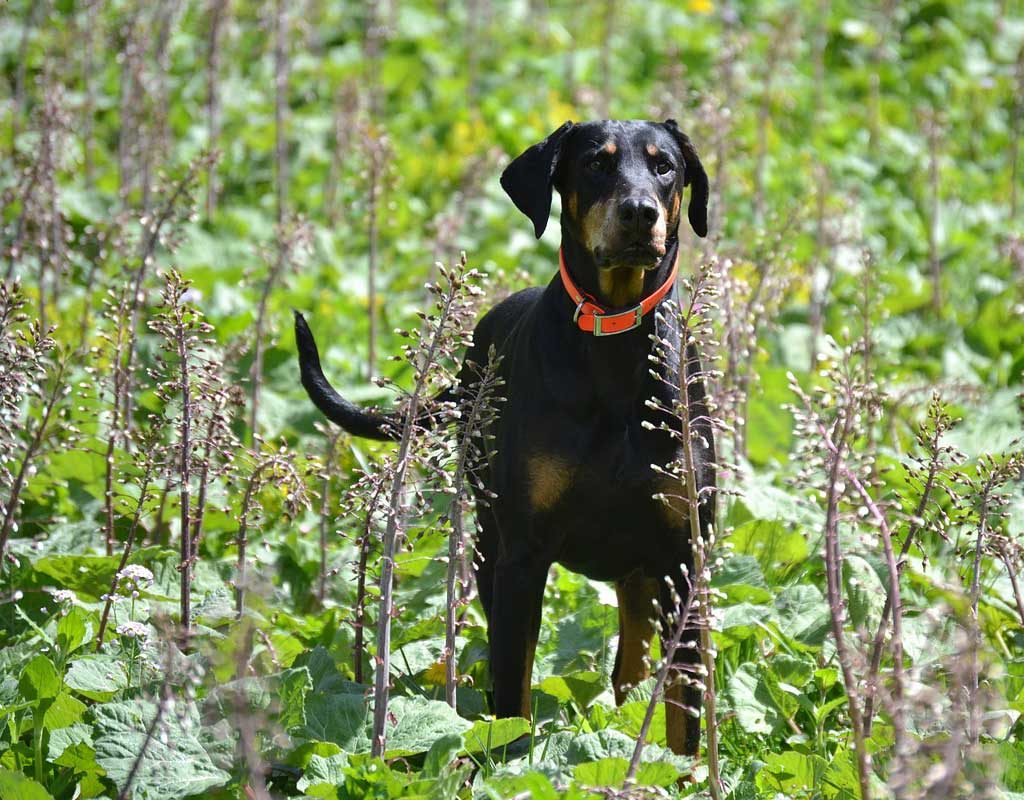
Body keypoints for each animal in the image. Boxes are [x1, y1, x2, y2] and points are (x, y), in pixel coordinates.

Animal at [292, 118, 716, 753]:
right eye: (596, 163)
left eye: (664, 166)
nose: (640, 213)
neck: (613, 342)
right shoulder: (522, 556)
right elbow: (513, 690)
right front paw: (514, 762)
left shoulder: (683, 556)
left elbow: (683, 713)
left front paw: (681, 768)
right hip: (489, 543)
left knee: (631, 668)